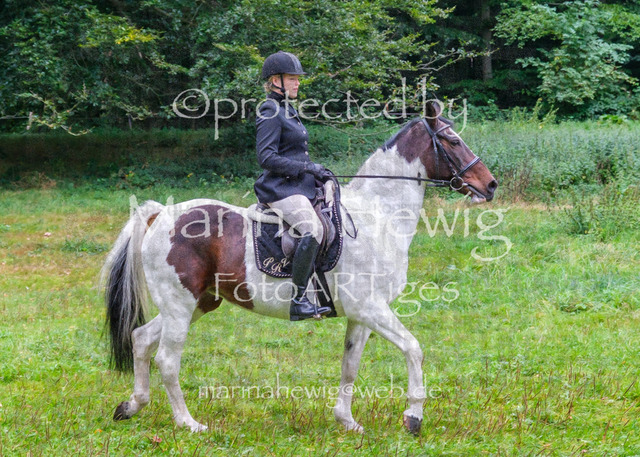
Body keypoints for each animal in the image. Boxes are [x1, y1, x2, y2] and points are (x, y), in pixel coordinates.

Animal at [102, 101, 498, 435]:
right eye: (453, 140)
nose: (490, 185)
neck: (379, 217)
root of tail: (160, 214)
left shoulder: (361, 314)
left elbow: (350, 364)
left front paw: (347, 421)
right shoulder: (371, 308)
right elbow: (414, 348)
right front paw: (413, 417)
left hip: (197, 303)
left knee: (141, 339)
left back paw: (132, 406)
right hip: (180, 305)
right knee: (168, 360)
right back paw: (189, 423)